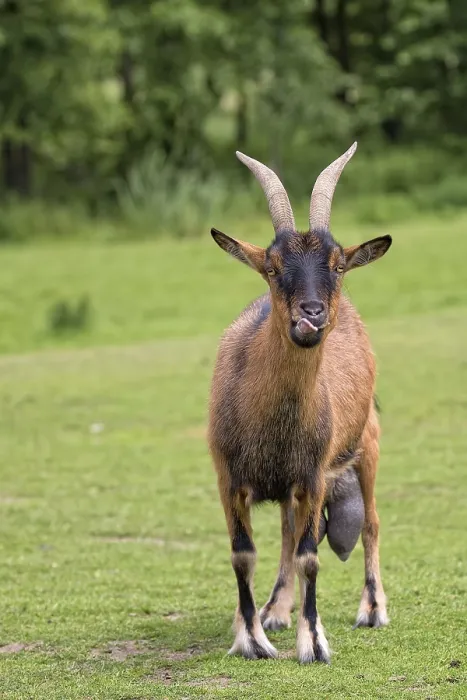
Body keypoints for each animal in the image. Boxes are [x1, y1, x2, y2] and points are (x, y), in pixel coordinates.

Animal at [208, 143, 391, 664]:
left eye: (337, 265)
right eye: (271, 267)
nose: (312, 315)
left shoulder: (312, 474)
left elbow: (310, 556)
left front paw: (314, 642)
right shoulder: (228, 475)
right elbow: (243, 553)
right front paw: (252, 636)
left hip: (367, 445)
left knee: (370, 523)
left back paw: (372, 609)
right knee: (288, 535)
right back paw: (275, 609)